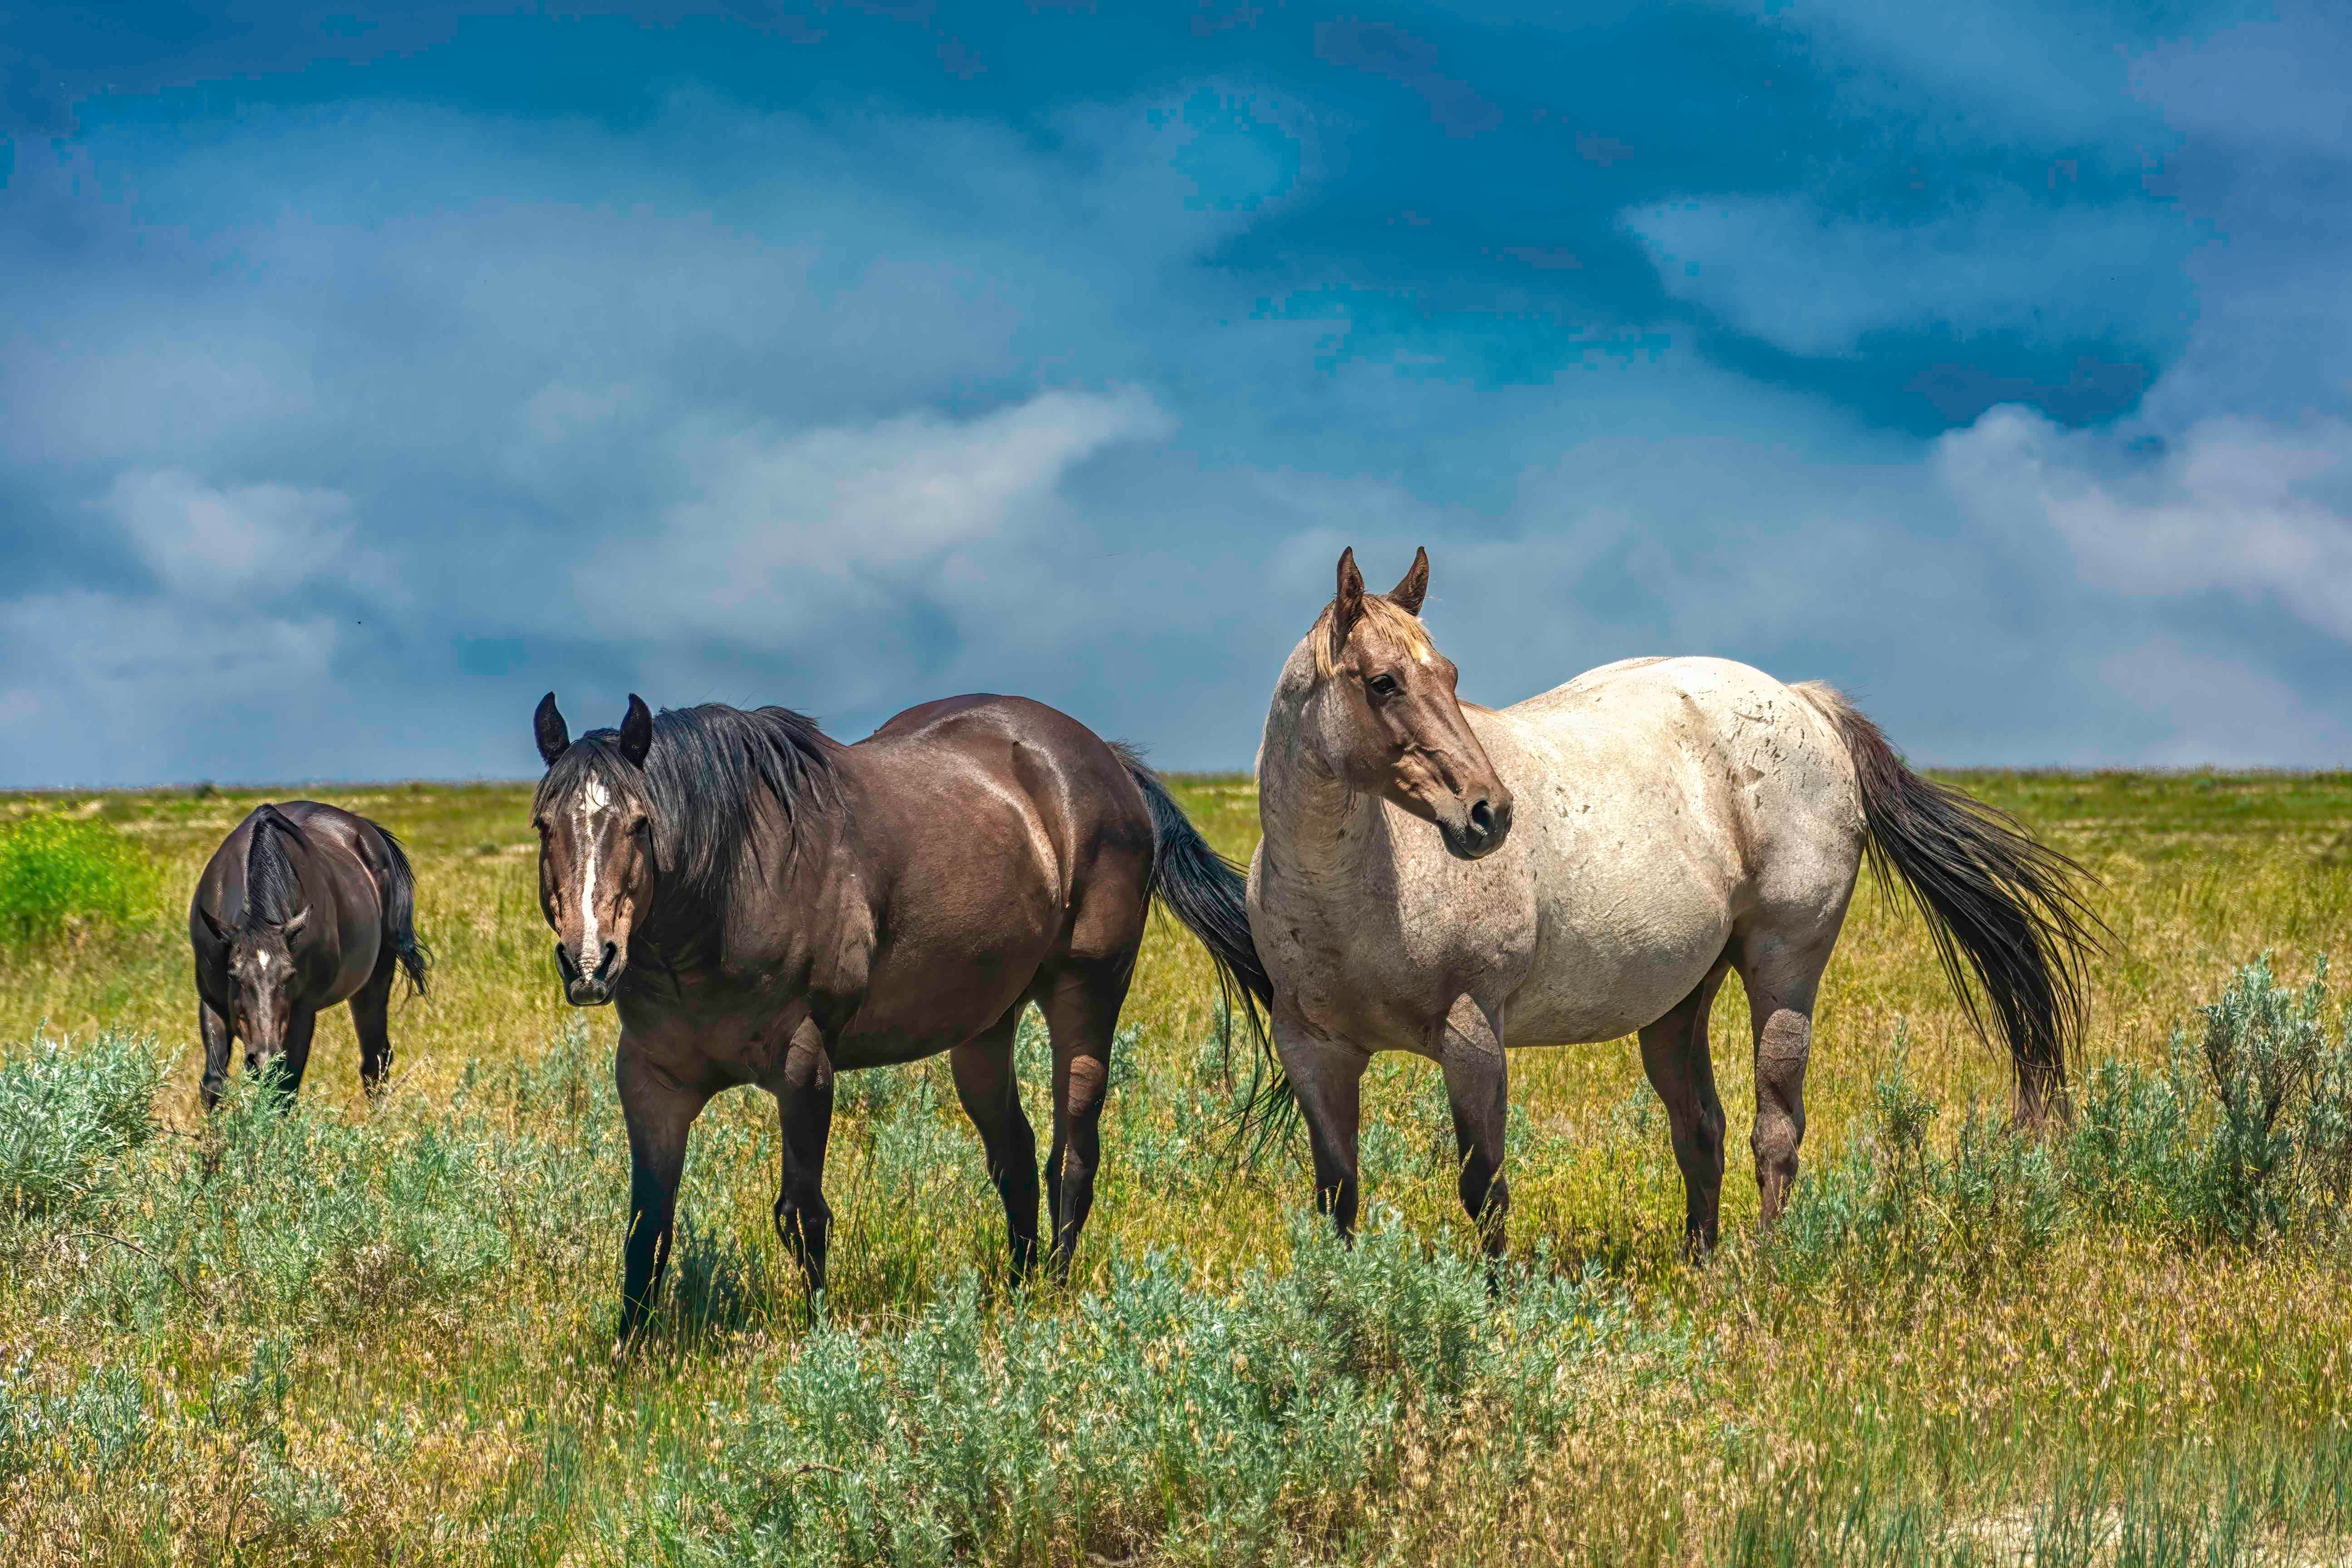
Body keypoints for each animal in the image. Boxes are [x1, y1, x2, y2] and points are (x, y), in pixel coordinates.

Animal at [190, 802, 431, 1107]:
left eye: (290, 976)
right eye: (233, 975)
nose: (263, 1058)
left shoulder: (302, 1013)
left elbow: (285, 1089)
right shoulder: (212, 1001)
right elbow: (214, 1083)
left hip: (375, 980)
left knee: (375, 1061)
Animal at [529, 691, 1270, 1340]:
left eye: (640, 822)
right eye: (544, 824)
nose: (590, 960)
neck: (732, 889)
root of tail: (1108, 761)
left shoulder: (803, 1067)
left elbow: (803, 1215)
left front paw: (818, 1339)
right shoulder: (651, 1082)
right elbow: (647, 1227)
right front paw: (630, 1355)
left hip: (1086, 997)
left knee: (1073, 1156)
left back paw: (1057, 1290)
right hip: (984, 1029)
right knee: (1016, 1155)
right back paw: (1020, 1289)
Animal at [1245, 546, 2102, 1258]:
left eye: (1451, 678)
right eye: (1382, 682)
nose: (1488, 813)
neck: (1355, 892)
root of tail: (1804, 702)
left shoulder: (1471, 1036)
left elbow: (1483, 1187)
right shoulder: (1313, 1052)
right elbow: (1337, 1194)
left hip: (1783, 970)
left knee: (1774, 1129)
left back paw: (1766, 1265)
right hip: (1677, 1005)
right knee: (1700, 1130)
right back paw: (1702, 1263)